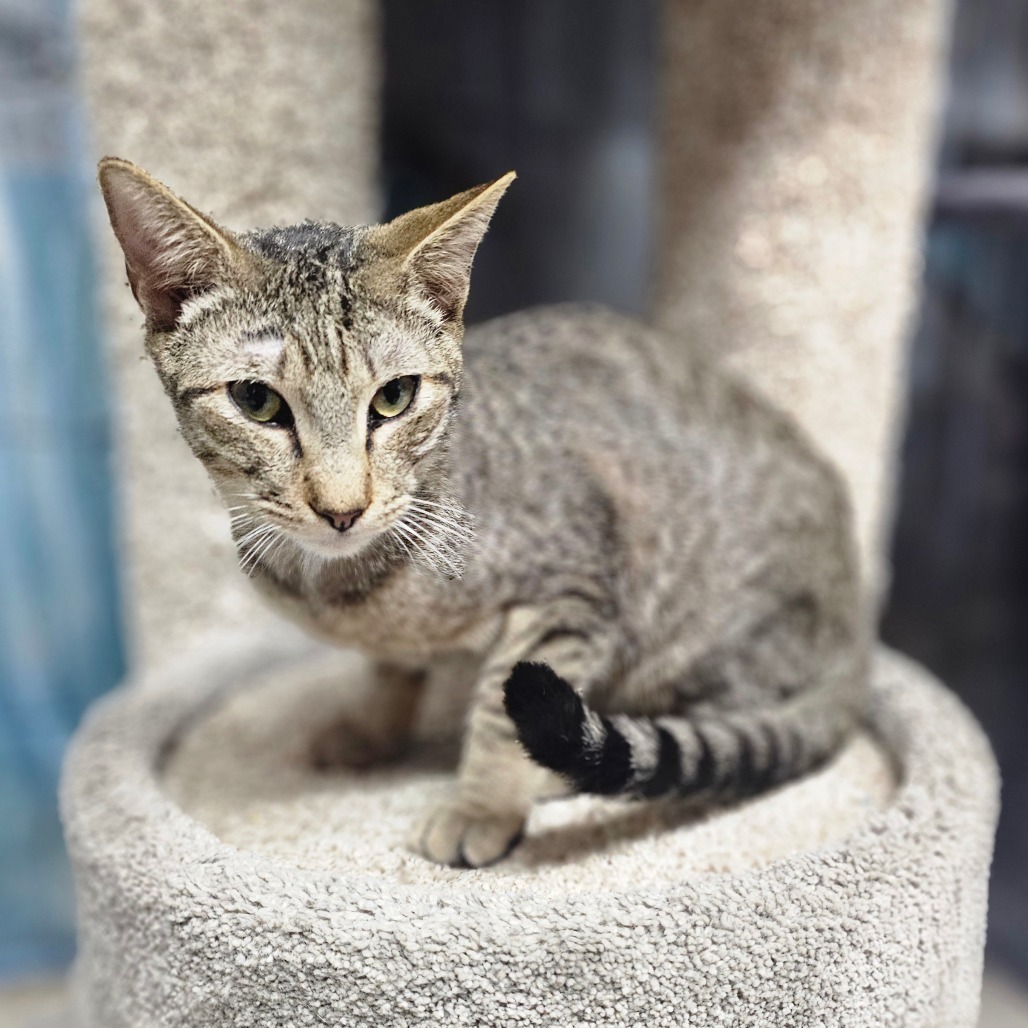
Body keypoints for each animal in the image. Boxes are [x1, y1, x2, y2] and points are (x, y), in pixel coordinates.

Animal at [98, 158, 867, 867]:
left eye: (394, 397)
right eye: (256, 401)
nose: (343, 508)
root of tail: (851, 641)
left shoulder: (571, 590)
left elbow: (502, 709)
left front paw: (483, 805)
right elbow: (389, 671)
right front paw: (374, 728)